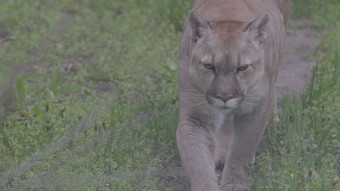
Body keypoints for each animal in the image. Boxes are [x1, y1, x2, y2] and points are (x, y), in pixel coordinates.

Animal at [177, 0, 290, 190]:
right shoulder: (195, 116)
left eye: (242, 67)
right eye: (209, 66)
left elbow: (242, 149)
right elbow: (198, 160)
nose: (224, 96)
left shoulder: (256, 107)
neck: (228, 14)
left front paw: (235, 184)